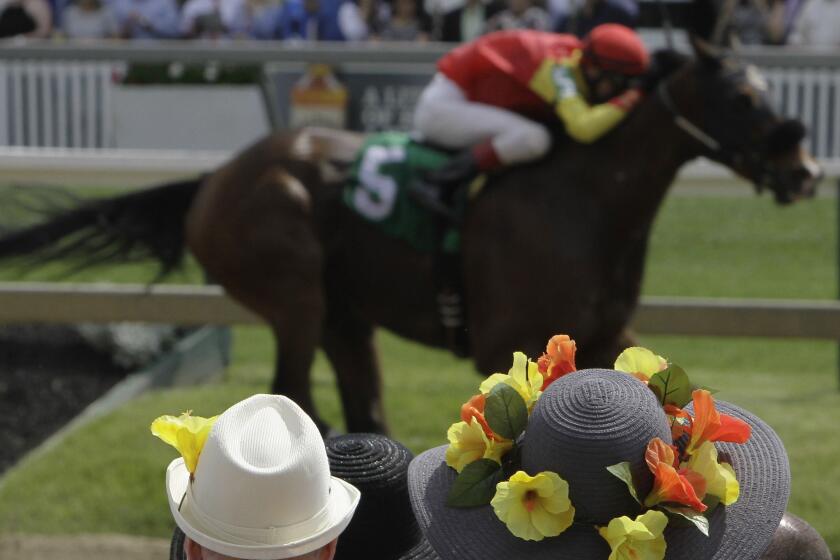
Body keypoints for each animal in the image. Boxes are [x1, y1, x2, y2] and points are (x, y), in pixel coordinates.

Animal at [0, 39, 820, 436]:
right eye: (742, 95)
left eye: (766, 89)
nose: (806, 169)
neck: (585, 199)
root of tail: (213, 179)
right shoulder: (504, 339)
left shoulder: (606, 330)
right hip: (293, 292)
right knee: (293, 393)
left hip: (345, 315)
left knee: (361, 406)